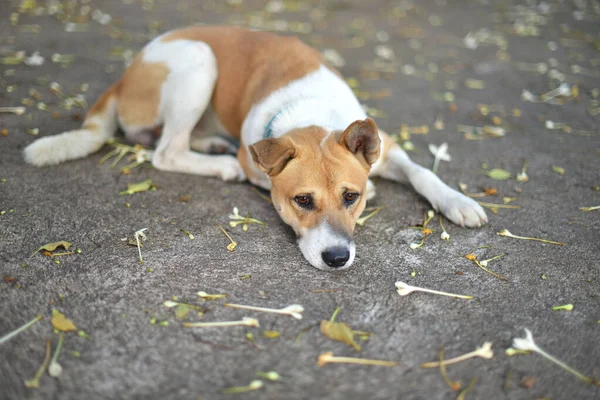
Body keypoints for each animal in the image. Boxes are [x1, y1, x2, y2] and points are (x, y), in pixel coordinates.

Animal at [23, 25, 488, 272]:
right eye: (303, 200)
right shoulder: (258, 164)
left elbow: (423, 172)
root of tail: (125, 74)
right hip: (200, 61)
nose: (337, 258)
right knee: (165, 150)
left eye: (350, 197)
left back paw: (213, 142)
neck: (309, 109)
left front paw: (459, 202)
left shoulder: (385, 147)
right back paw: (220, 162)